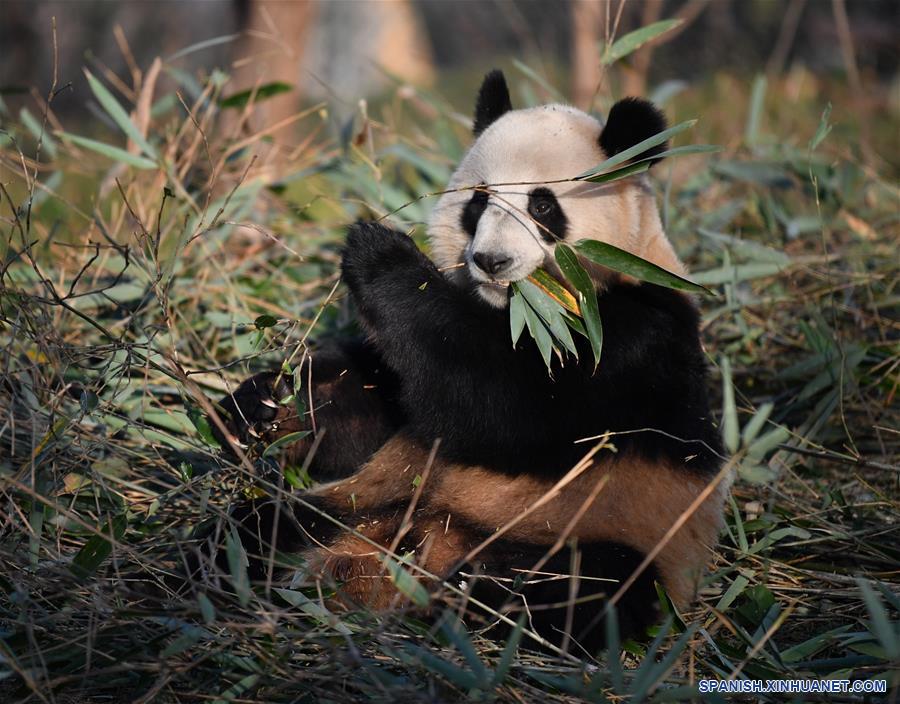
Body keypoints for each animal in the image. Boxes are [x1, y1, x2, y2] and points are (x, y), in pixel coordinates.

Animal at [204, 70, 726, 653]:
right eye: (479, 201)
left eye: (543, 206)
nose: (491, 261)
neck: (520, 311)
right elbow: (378, 408)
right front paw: (262, 406)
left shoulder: (634, 337)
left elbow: (504, 407)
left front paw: (380, 254)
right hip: (355, 508)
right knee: (254, 528)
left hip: (612, 532)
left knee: (589, 589)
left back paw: (475, 598)